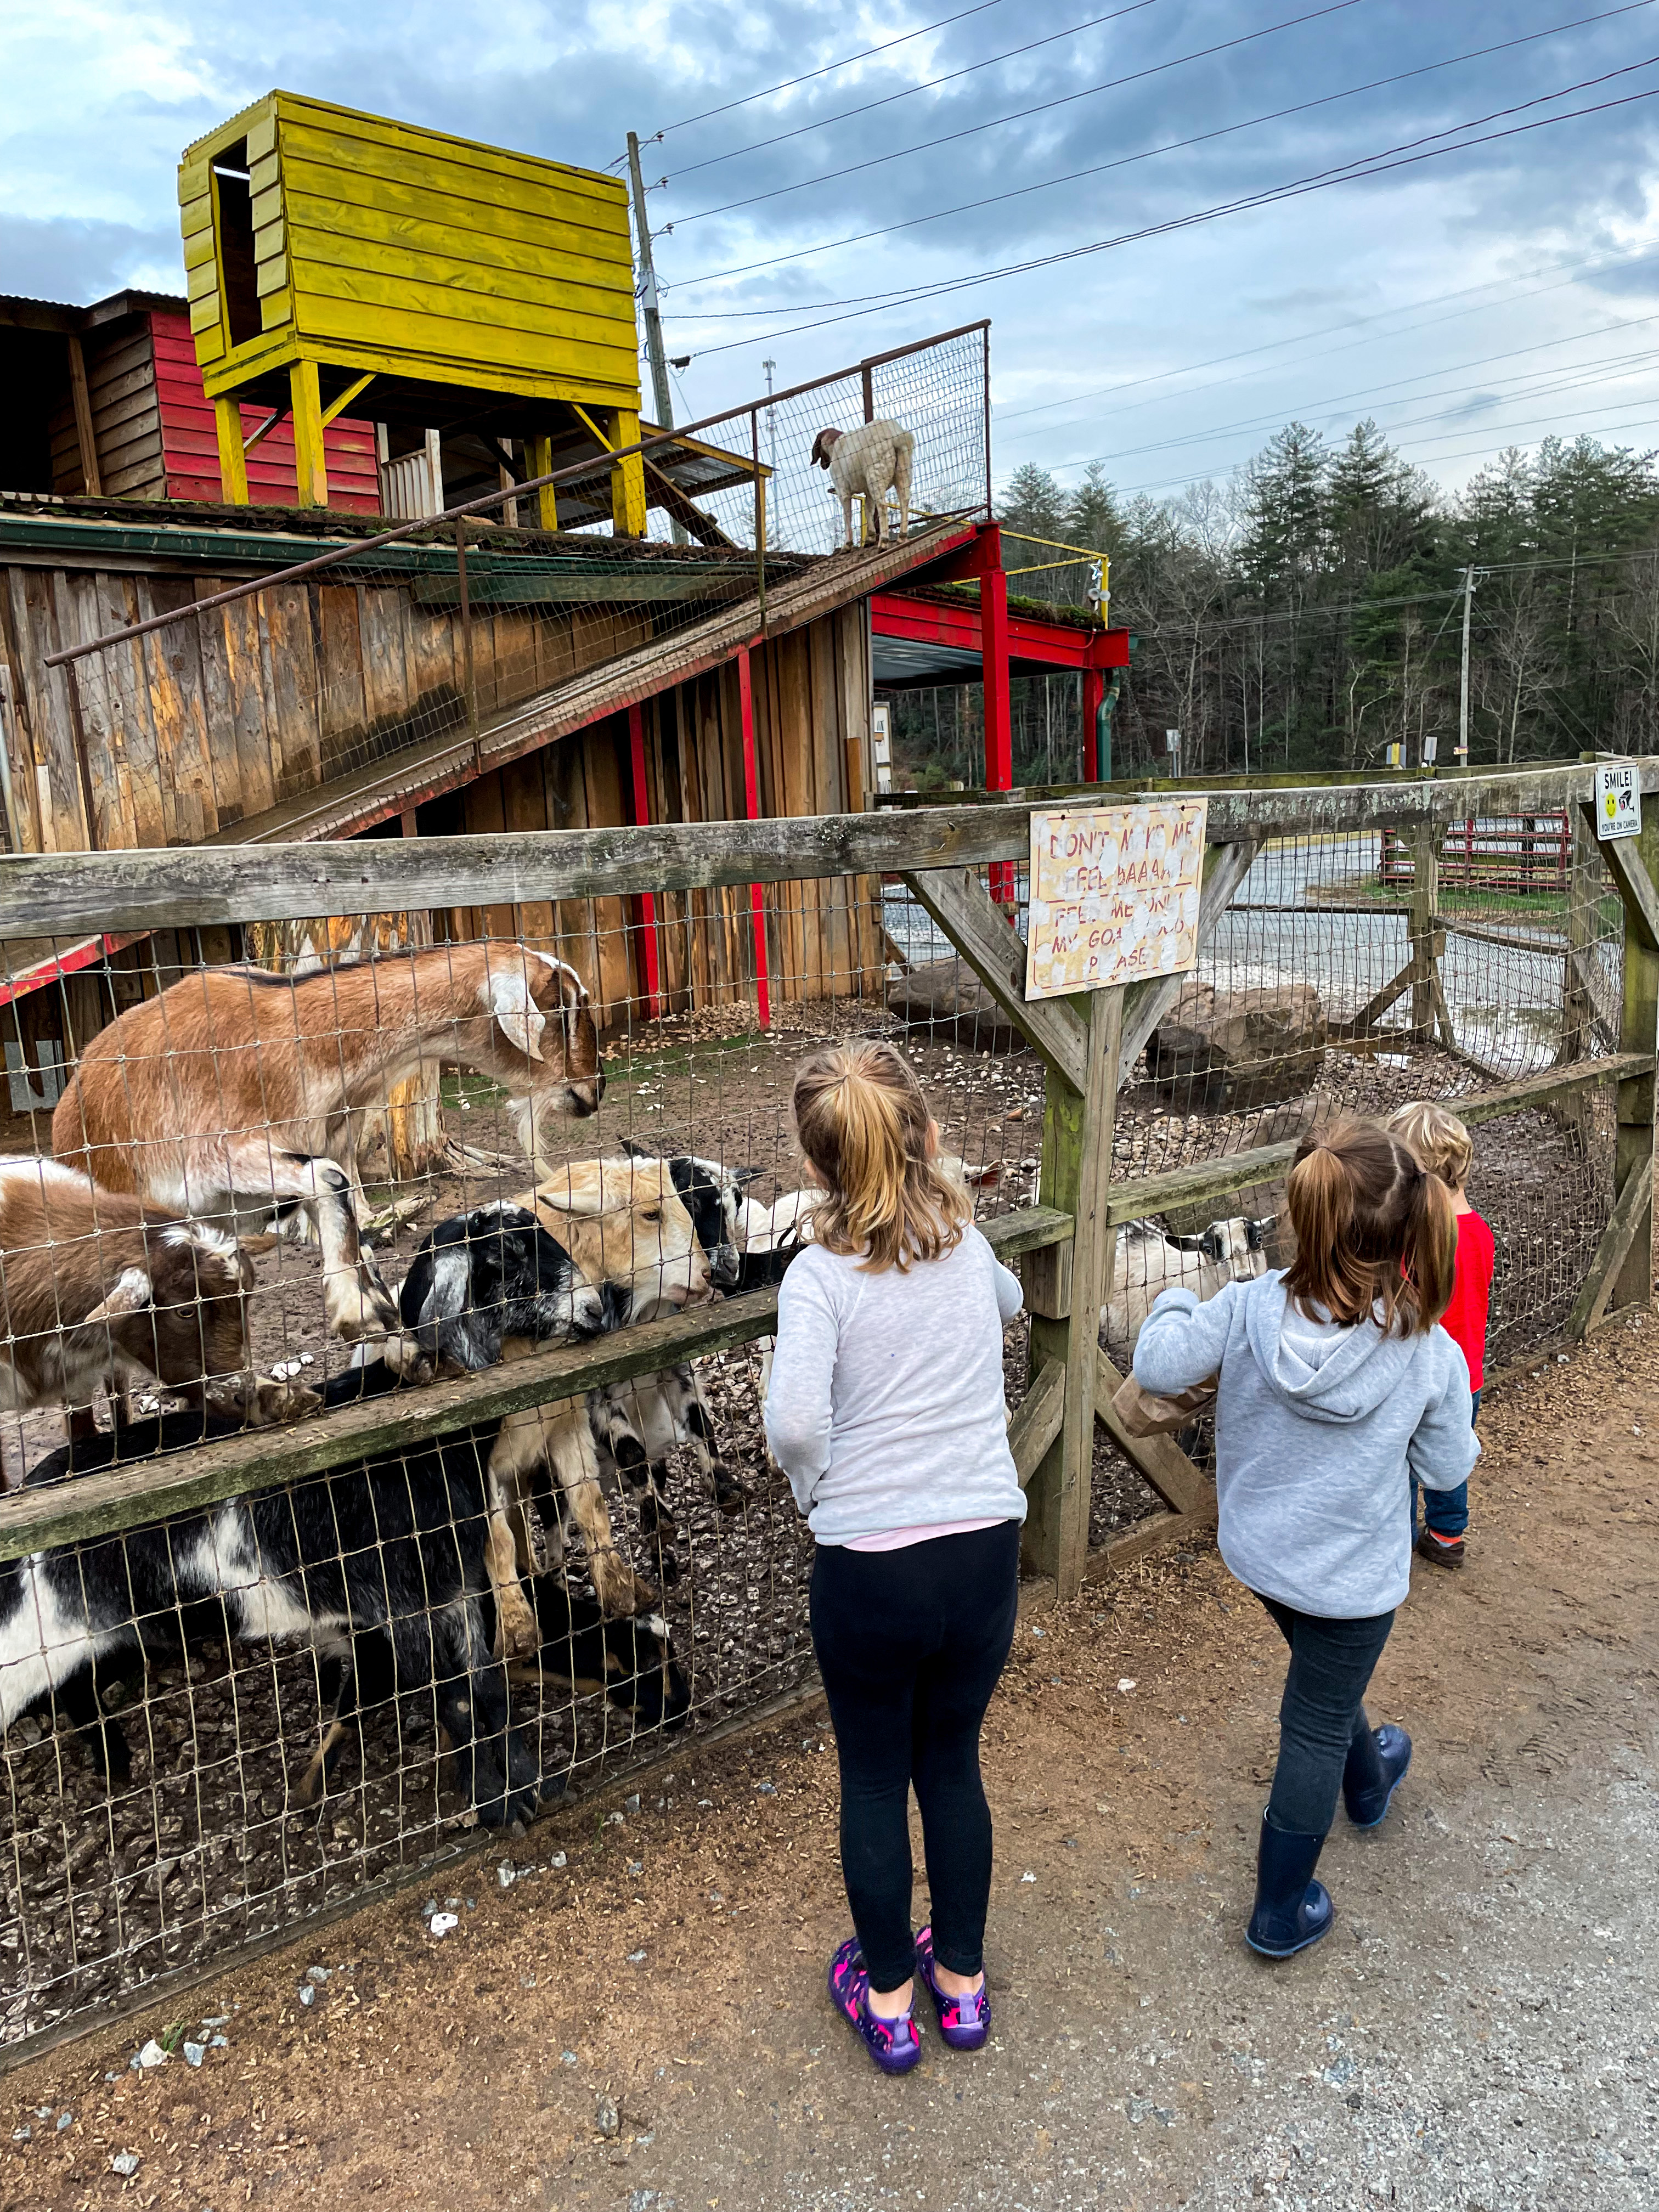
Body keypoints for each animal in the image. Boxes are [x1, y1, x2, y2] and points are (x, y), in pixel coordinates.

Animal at [50, 933, 610, 1345]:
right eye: (561, 1008)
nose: (596, 1088)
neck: (307, 1044)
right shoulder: (217, 1154)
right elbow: (332, 1178)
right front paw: (357, 1311)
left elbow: (349, 1217)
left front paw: (375, 1303)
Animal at [814, 420, 916, 550]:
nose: (823, 465)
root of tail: (896, 436)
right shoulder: (868, 492)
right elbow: (869, 510)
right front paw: (870, 538)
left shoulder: (843, 491)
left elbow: (847, 515)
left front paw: (847, 545)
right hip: (903, 473)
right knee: (905, 501)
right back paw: (902, 537)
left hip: (876, 476)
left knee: (883, 506)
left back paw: (883, 542)